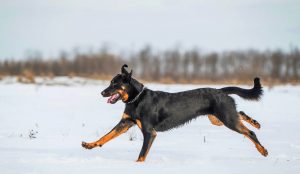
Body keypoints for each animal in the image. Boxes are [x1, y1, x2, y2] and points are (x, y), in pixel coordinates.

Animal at [81, 64, 268, 162]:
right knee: (241, 113)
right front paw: (90, 145)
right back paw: (256, 123)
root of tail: (221, 91)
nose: (102, 93)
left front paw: (137, 166)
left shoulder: (149, 132)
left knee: (249, 132)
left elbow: (141, 154)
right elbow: (106, 136)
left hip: (227, 118)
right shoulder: (125, 123)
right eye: (110, 83)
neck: (136, 100)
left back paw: (263, 150)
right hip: (218, 118)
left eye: (115, 84)